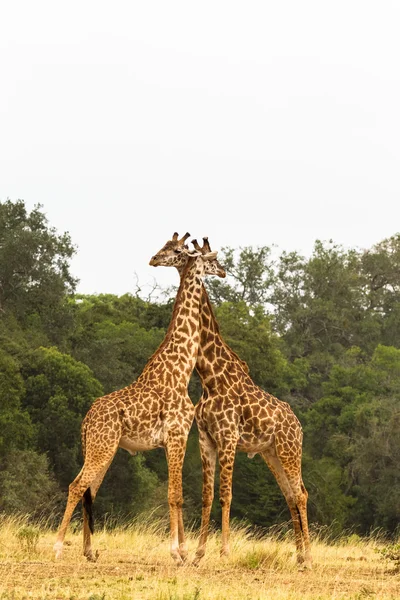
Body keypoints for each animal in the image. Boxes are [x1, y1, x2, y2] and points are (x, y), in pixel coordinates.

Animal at [52, 232, 225, 564]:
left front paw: (182, 551)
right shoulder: (175, 434)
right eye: (209, 259)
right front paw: (177, 553)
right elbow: (175, 495)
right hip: (102, 447)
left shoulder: (176, 438)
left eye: (173, 248)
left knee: (89, 489)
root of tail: (86, 420)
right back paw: (57, 548)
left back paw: (89, 551)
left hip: (101, 448)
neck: (180, 369)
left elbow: (177, 494)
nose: (223, 271)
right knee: (76, 485)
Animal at [152, 237, 310, 568]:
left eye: (178, 250)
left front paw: (224, 552)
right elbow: (207, 495)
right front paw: (199, 553)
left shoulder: (228, 437)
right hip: (271, 454)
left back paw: (310, 558)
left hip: (289, 451)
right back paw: (300, 556)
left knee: (301, 494)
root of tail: (298, 426)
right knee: (291, 494)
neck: (210, 376)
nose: (154, 259)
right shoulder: (206, 438)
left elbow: (226, 494)